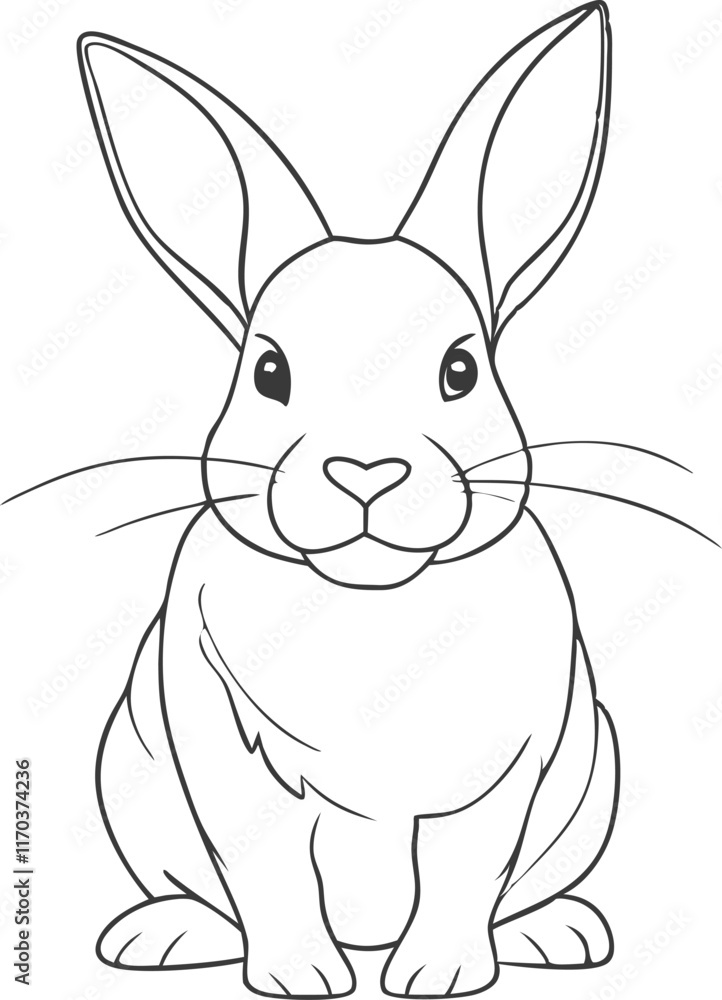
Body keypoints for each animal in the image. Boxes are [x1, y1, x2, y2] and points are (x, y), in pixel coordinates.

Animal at [71, 4, 623, 996]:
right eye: (268, 371)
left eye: (460, 369)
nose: (366, 470)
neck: (367, 608)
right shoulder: (228, 762)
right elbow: (269, 869)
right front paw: (302, 980)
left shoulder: (499, 774)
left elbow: (462, 868)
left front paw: (437, 977)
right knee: (206, 894)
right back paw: (161, 938)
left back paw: (555, 936)